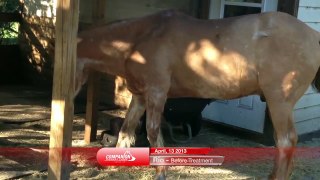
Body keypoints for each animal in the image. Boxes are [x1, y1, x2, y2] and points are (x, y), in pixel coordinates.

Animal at [76, 10, 320, 179]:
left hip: (279, 101)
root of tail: (313, 34)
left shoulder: (157, 92)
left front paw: (161, 172)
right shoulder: (140, 96)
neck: (142, 37)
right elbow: (126, 131)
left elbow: (152, 133)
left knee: (286, 140)